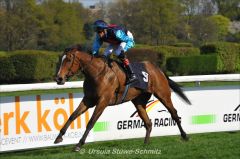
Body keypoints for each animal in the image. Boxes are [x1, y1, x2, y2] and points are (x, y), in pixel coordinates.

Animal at [54, 44, 191, 152]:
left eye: (68, 60)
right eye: (61, 59)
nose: (59, 78)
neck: (97, 73)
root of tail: (158, 70)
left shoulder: (102, 101)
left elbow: (91, 122)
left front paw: (79, 144)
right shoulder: (88, 100)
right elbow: (73, 115)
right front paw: (59, 137)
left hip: (163, 94)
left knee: (174, 114)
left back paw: (184, 136)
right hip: (139, 101)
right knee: (148, 122)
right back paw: (146, 143)